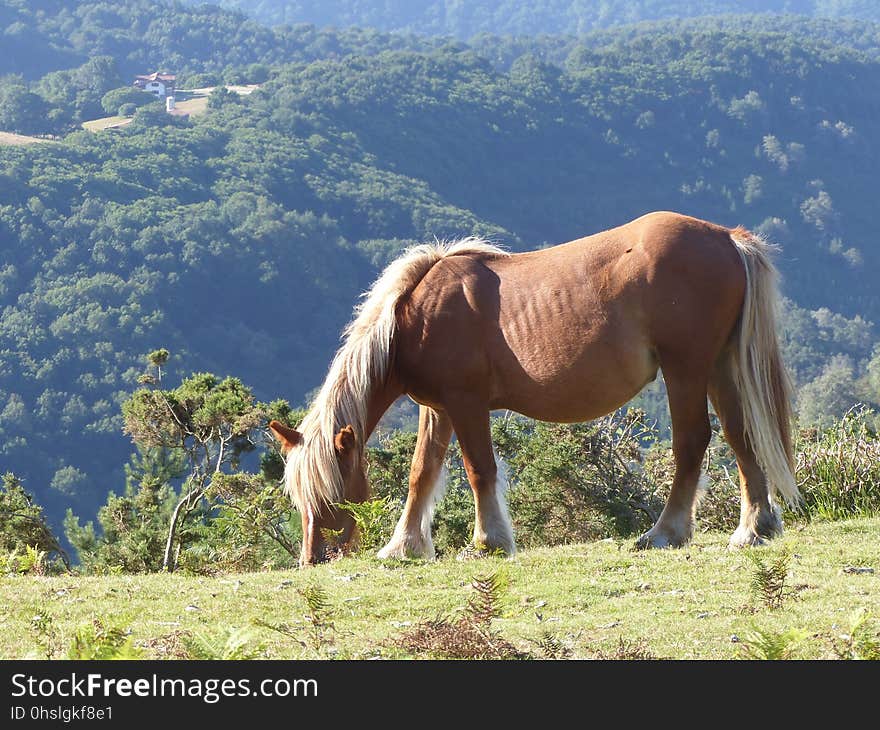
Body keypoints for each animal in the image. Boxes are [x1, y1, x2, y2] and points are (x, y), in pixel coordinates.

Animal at [272, 210, 800, 564]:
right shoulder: (437, 409)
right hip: (719, 367)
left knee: (693, 442)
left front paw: (489, 542)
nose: (312, 558)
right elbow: (422, 473)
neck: (412, 318)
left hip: (686, 370)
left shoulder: (465, 404)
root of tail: (728, 239)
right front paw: (404, 546)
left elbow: (479, 470)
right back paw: (754, 528)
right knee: (742, 437)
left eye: (330, 492)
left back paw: (665, 532)